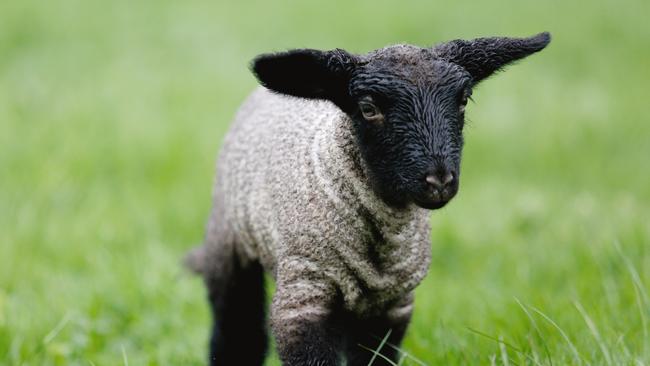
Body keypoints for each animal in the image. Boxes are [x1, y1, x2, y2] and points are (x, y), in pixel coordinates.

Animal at [185, 32, 548, 366]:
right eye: (368, 109)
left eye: (463, 101)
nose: (439, 181)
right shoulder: (304, 292)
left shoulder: (394, 305)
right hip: (228, 244)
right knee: (237, 332)